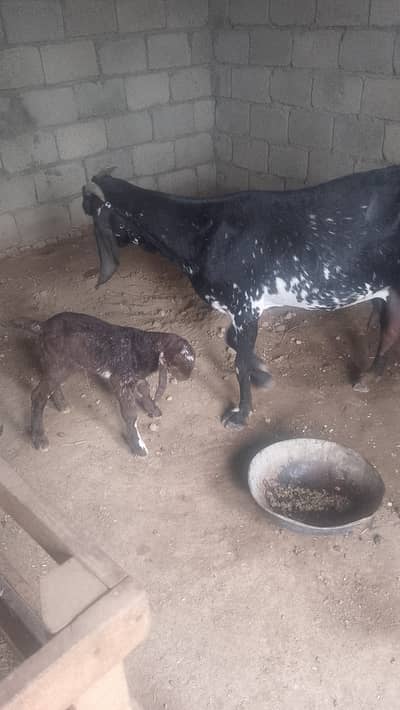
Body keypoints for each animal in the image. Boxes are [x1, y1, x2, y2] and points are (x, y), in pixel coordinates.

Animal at [5, 313, 195, 456]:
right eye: (179, 363)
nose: (188, 376)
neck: (142, 346)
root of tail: (43, 326)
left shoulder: (135, 377)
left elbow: (145, 389)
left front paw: (153, 409)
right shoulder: (120, 380)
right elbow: (130, 415)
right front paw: (138, 446)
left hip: (59, 363)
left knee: (49, 386)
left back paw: (61, 404)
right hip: (60, 364)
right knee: (38, 394)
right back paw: (39, 438)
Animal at [82, 165, 400, 429]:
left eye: (91, 208)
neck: (204, 232)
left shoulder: (245, 306)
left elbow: (239, 363)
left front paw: (241, 413)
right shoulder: (242, 309)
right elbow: (232, 342)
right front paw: (263, 373)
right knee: (389, 330)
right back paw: (371, 376)